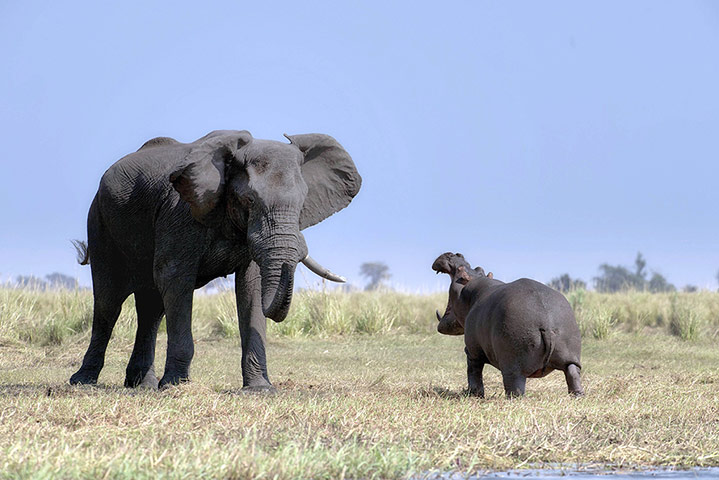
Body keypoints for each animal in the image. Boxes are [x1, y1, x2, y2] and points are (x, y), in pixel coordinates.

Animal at [69, 130, 361, 390]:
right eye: (250, 200)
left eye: (302, 204)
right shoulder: (180, 212)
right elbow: (174, 277)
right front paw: (175, 386)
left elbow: (251, 287)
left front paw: (260, 389)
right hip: (100, 222)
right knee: (108, 302)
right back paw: (83, 382)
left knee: (151, 308)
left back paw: (142, 385)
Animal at [432, 252, 584, 398]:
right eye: (478, 269)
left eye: (460, 271)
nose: (455, 254)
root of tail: (546, 322)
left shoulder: (472, 351)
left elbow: (473, 372)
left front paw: (473, 394)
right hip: (570, 356)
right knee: (572, 373)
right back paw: (577, 396)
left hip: (513, 366)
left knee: (514, 387)